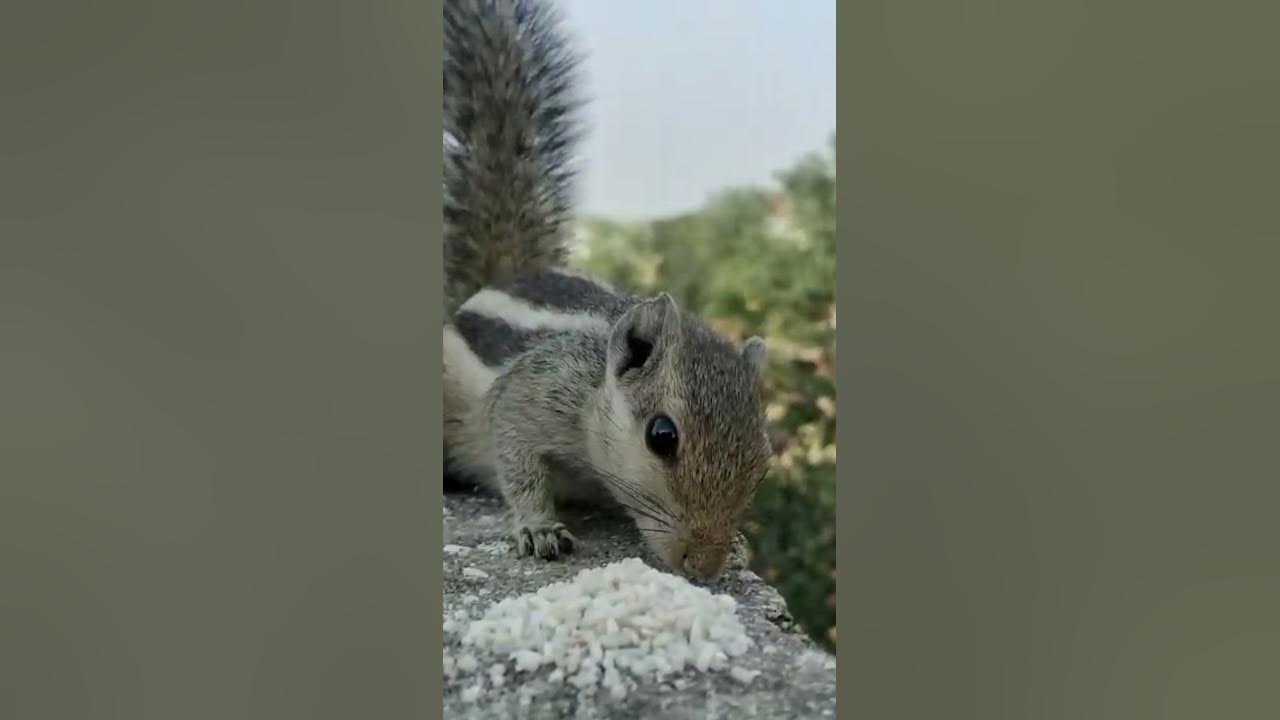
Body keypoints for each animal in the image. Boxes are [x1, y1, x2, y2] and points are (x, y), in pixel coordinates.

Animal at [442, 0, 773, 583]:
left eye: (764, 456)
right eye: (662, 436)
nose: (706, 566)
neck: (597, 391)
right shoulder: (529, 394)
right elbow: (518, 463)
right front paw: (539, 527)